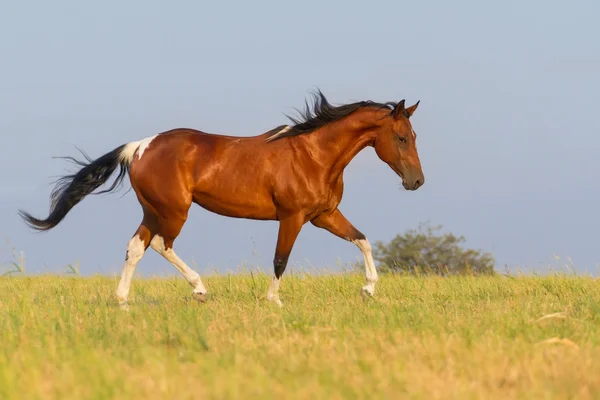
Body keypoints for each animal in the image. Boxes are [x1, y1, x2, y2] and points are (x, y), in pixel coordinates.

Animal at [19, 91, 426, 310]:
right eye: (401, 137)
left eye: (414, 135)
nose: (417, 181)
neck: (313, 155)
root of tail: (139, 147)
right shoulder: (292, 217)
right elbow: (280, 260)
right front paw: (274, 301)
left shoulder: (324, 215)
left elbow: (363, 240)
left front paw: (368, 289)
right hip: (174, 211)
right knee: (163, 245)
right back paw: (199, 289)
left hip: (153, 210)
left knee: (136, 247)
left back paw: (123, 300)